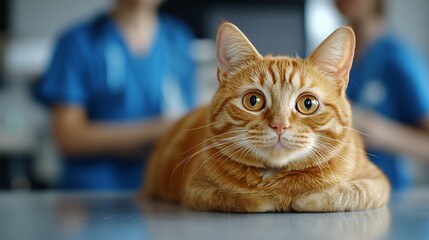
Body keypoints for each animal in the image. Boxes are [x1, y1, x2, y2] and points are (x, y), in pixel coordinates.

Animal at [140, 22, 388, 213]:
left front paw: (307, 199)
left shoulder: (378, 183)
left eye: (308, 104)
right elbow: (242, 199)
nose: (279, 125)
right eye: (253, 101)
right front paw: (267, 198)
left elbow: (348, 192)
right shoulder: (195, 189)